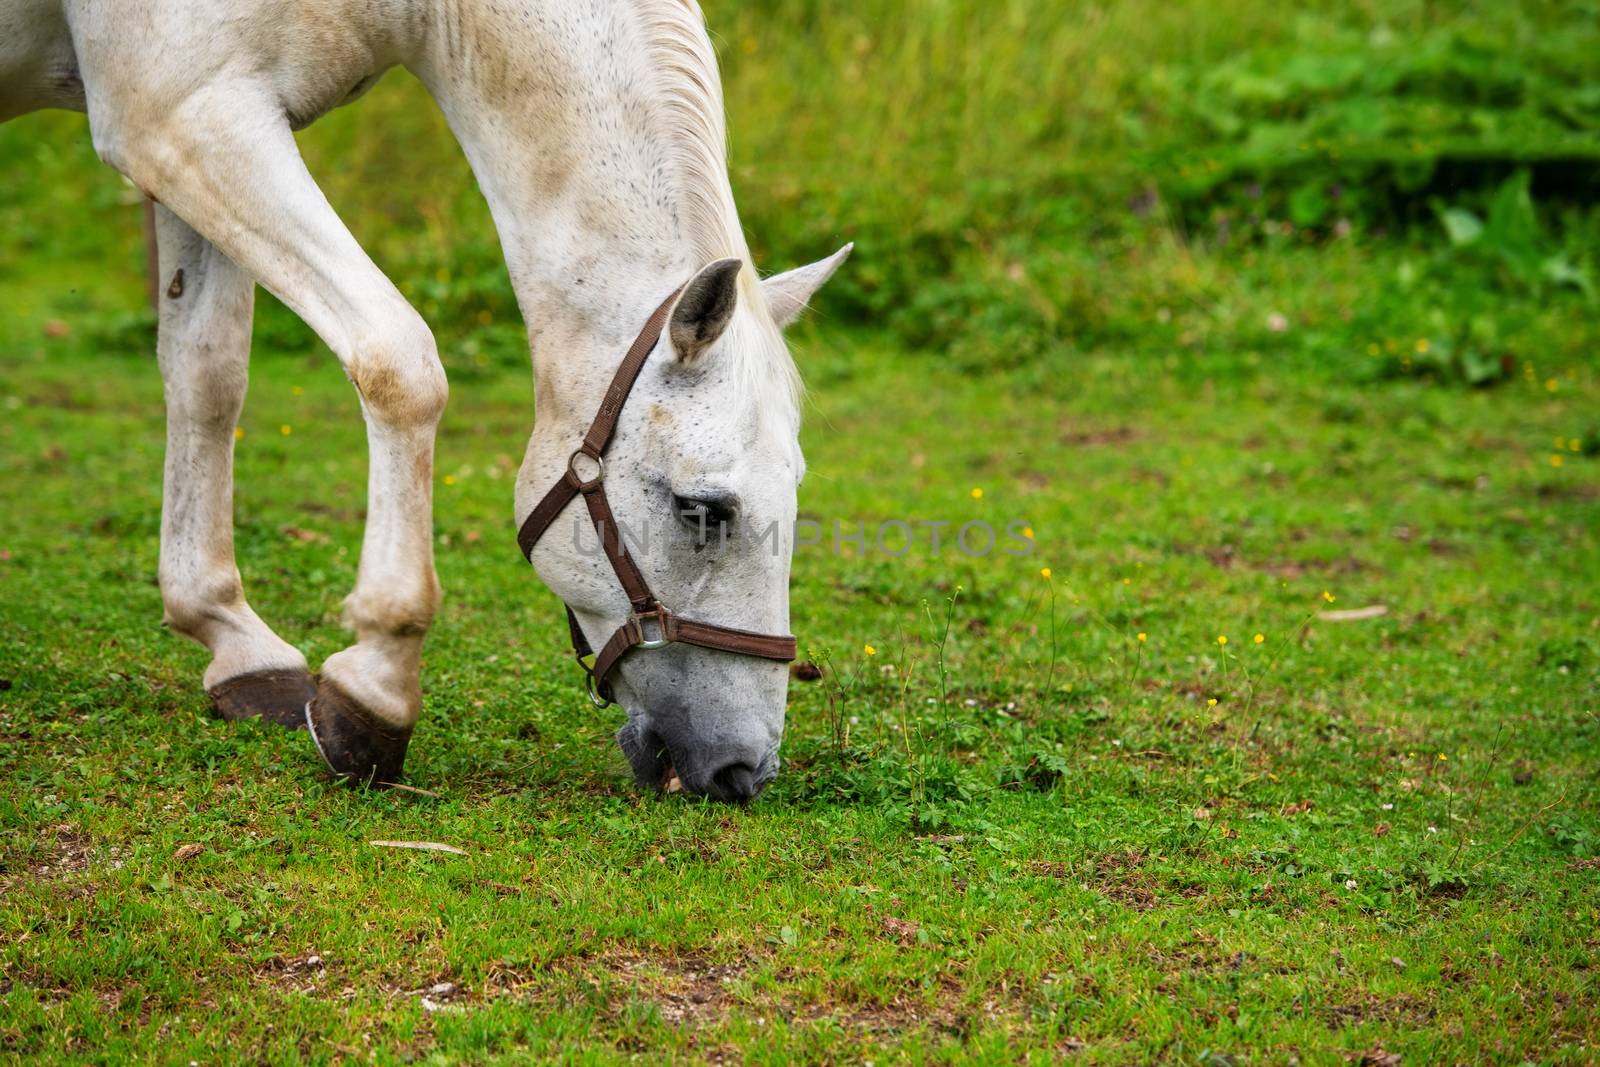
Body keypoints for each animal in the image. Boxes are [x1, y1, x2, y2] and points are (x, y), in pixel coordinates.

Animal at [0, 0, 851, 799]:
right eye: (702, 509)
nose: (744, 769)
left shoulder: (191, 134)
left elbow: (208, 375)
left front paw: (232, 638)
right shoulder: (182, 116)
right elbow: (398, 360)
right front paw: (375, 689)